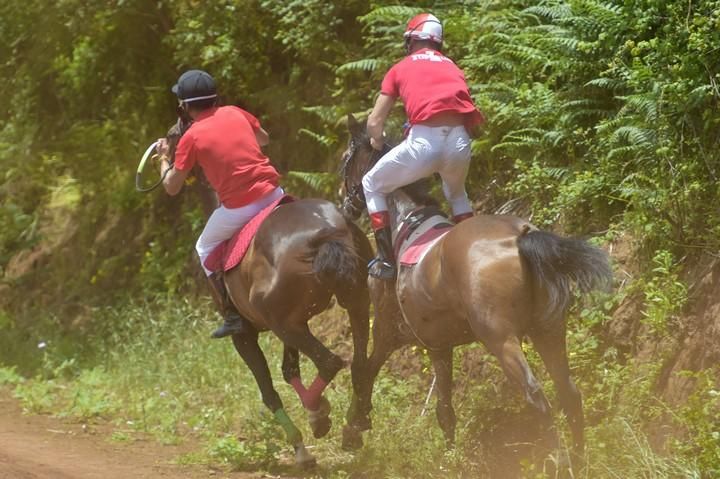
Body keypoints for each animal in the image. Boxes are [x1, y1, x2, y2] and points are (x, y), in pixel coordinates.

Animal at [162, 122, 372, 466]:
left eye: (172, 140)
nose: (163, 164)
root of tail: (327, 232)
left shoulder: (245, 334)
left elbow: (269, 390)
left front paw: (302, 444)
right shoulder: (295, 321)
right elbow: (289, 370)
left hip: (283, 323)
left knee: (330, 362)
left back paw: (317, 415)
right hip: (353, 304)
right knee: (359, 363)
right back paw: (352, 425)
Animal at [340, 114, 612, 464]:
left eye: (345, 160)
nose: (345, 204)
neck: (406, 221)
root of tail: (520, 235)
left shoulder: (397, 335)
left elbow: (367, 373)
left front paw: (354, 427)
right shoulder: (434, 343)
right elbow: (438, 406)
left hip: (501, 339)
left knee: (536, 396)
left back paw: (556, 461)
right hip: (548, 329)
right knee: (569, 392)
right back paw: (578, 459)